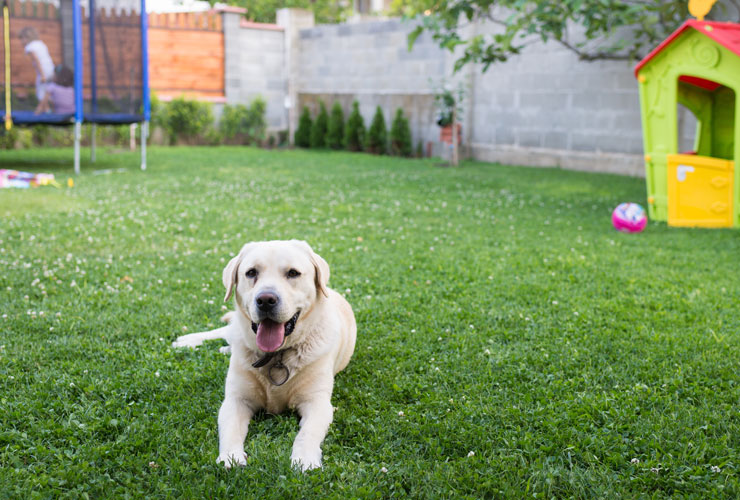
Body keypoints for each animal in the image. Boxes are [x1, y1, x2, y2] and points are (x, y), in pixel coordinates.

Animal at [174, 240, 358, 470]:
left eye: (293, 273)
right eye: (251, 272)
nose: (266, 299)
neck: (276, 356)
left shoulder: (317, 402)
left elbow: (307, 432)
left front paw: (304, 458)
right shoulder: (236, 399)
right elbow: (230, 430)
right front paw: (231, 457)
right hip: (234, 331)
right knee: (223, 331)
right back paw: (187, 341)